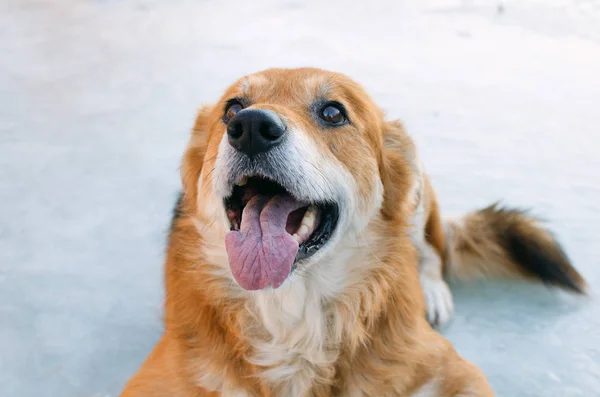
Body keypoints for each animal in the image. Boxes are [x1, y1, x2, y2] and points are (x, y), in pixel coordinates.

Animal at [119, 68, 584, 396]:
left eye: (332, 112)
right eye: (231, 109)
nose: (250, 127)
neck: (292, 313)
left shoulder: (454, 370)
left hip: (420, 197)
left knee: (432, 249)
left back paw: (432, 289)